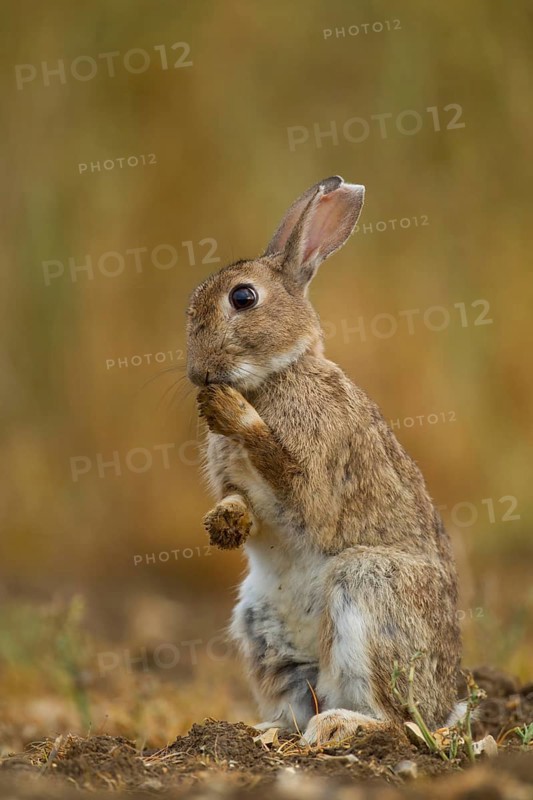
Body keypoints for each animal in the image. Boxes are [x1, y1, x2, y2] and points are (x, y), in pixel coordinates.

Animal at [186, 176, 461, 744]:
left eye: (243, 297)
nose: (198, 374)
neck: (274, 376)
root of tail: (448, 705)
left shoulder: (317, 469)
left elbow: (293, 481)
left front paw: (232, 412)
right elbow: (240, 503)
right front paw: (224, 525)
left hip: (369, 588)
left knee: (398, 719)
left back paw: (337, 724)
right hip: (262, 629)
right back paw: (267, 729)